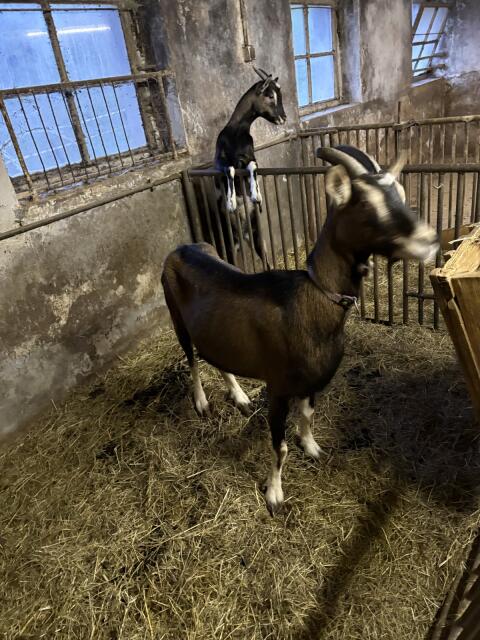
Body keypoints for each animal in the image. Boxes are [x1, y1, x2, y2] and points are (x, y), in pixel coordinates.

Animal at [161, 145, 438, 515]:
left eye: (401, 194)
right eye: (366, 203)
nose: (429, 239)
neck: (312, 300)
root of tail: (180, 249)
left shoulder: (313, 381)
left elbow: (307, 415)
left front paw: (312, 447)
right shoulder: (278, 388)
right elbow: (278, 446)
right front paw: (274, 495)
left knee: (215, 358)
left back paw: (239, 396)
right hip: (176, 317)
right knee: (191, 359)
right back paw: (202, 404)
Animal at [213, 67, 286, 269]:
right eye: (270, 95)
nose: (283, 118)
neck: (236, 132)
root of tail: (244, 234)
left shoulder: (250, 156)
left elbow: (253, 166)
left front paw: (256, 195)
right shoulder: (218, 162)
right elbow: (229, 169)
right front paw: (230, 202)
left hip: (257, 234)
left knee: (267, 262)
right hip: (232, 242)